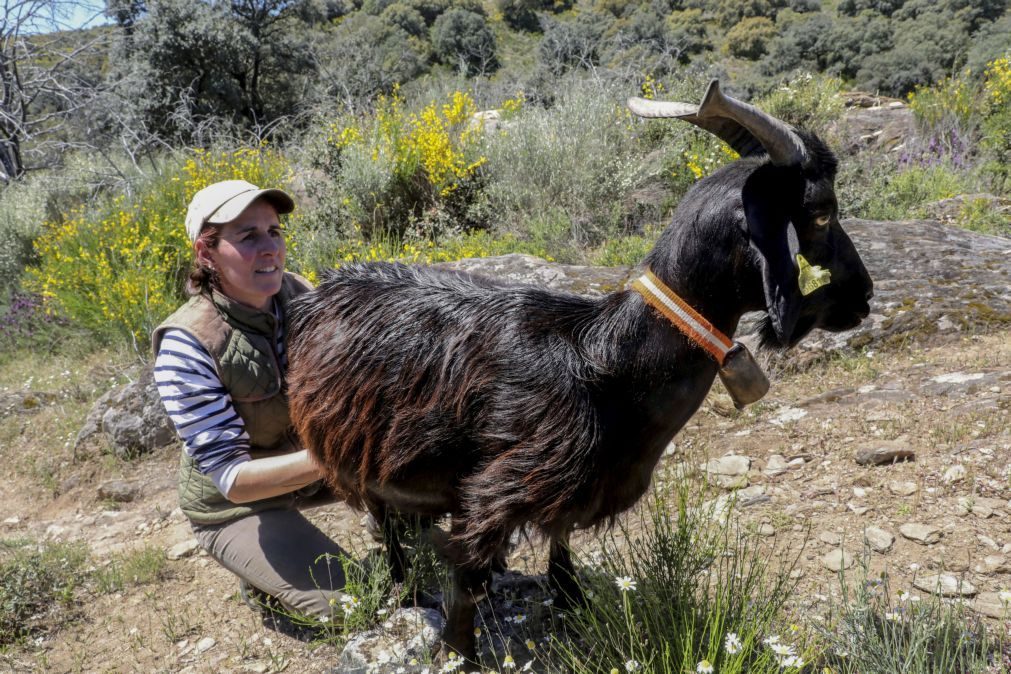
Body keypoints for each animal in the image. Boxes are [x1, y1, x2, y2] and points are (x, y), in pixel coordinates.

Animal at [287, 81, 877, 662]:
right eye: (821, 212)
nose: (865, 295)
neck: (611, 359)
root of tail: (323, 290)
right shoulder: (500, 484)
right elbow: (468, 577)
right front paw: (460, 650)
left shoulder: (577, 486)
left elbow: (562, 546)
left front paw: (570, 601)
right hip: (356, 449)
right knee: (383, 521)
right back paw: (406, 588)